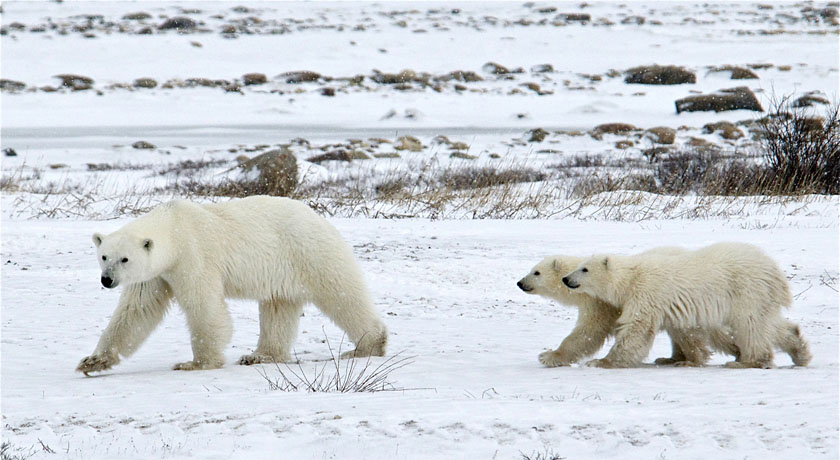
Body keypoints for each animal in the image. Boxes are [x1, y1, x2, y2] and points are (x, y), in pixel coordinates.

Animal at [76, 196, 388, 375]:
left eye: (125, 259)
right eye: (104, 256)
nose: (107, 280)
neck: (174, 227)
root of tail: (318, 217)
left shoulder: (193, 256)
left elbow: (204, 307)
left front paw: (196, 363)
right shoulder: (156, 273)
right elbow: (136, 312)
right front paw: (93, 361)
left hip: (309, 252)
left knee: (342, 294)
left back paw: (367, 346)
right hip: (283, 271)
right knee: (278, 309)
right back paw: (260, 355)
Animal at [562, 242, 812, 369]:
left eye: (584, 268)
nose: (566, 279)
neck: (631, 277)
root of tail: (775, 271)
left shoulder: (647, 293)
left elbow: (637, 328)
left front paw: (601, 361)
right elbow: (686, 329)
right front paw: (682, 359)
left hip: (746, 290)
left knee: (750, 324)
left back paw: (749, 362)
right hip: (760, 296)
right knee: (767, 323)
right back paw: (800, 353)